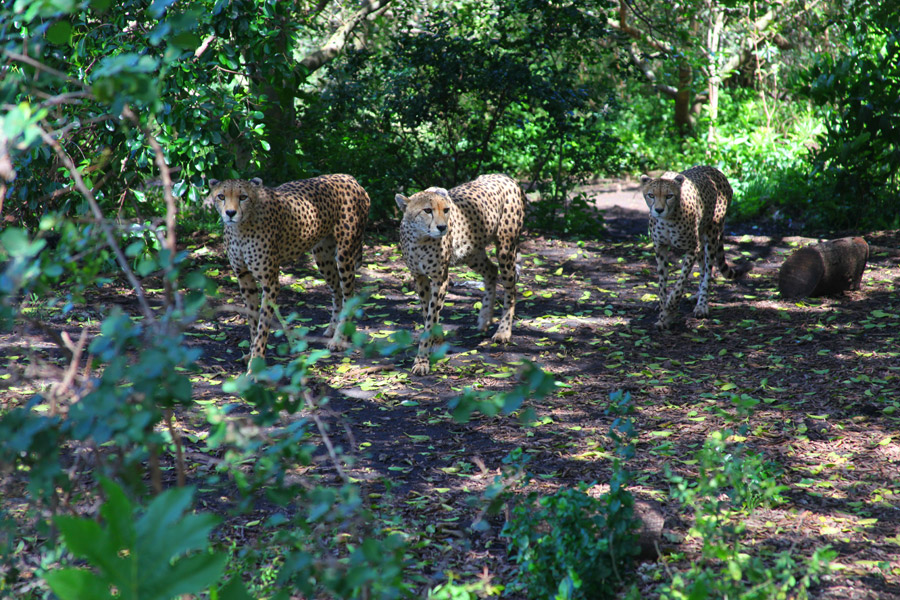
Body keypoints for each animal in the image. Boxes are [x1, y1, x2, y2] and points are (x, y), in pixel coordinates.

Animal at [207, 173, 370, 360]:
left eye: (243, 197)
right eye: (221, 196)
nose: (230, 213)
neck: (241, 227)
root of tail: (349, 177)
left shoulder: (270, 282)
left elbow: (263, 323)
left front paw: (256, 359)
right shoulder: (244, 277)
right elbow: (252, 319)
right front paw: (251, 353)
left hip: (345, 255)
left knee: (349, 295)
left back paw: (339, 339)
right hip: (322, 256)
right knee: (337, 291)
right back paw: (332, 330)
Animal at [396, 171, 528, 376]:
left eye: (446, 210)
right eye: (427, 210)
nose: (442, 227)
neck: (420, 239)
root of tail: (504, 176)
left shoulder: (440, 278)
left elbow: (431, 316)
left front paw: (422, 360)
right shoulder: (419, 277)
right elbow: (427, 312)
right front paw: (437, 342)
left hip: (506, 248)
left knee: (510, 287)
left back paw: (503, 331)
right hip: (471, 252)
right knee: (491, 270)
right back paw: (484, 318)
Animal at [640, 166, 752, 330]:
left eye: (669, 196)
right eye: (651, 195)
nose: (659, 210)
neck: (667, 219)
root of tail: (713, 169)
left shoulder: (692, 248)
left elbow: (680, 284)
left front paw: (670, 308)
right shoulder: (660, 248)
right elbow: (661, 284)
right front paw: (663, 313)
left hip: (711, 235)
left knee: (708, 271)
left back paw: (702, 305)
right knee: (704, 268)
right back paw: (696, 297)